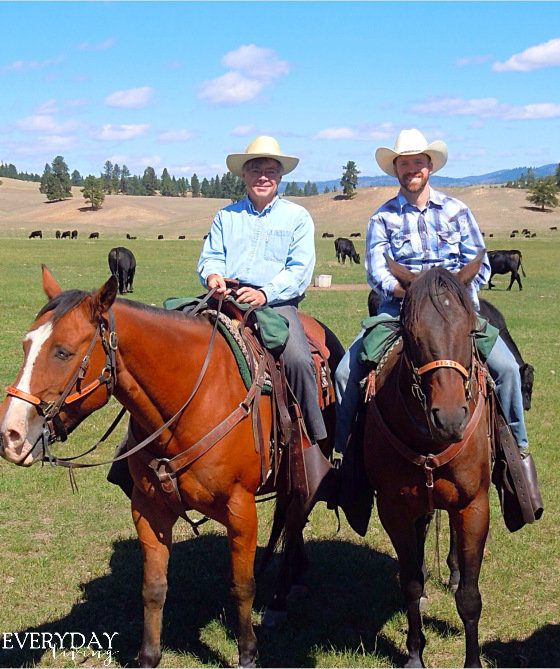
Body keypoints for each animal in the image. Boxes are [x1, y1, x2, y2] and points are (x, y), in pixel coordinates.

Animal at [0, 266, 344, 668]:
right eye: (25, 346)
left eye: (62, 352)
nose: (10, 435)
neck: (190, 401)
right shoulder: (148, 508)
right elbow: (153, 588)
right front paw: (148, 655)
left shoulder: (240, 508)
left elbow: (241, 586)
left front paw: (247, 653)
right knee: (290, 520)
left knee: (293, 517)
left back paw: (278, 597)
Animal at [364, 253, 490, 664]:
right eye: (412, 334)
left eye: (469, 331)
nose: (449, 419)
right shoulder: (394, 508)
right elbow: (411, 584)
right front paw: (415, 654)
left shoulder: (474, 505)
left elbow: (469, 596)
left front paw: (472, 661)